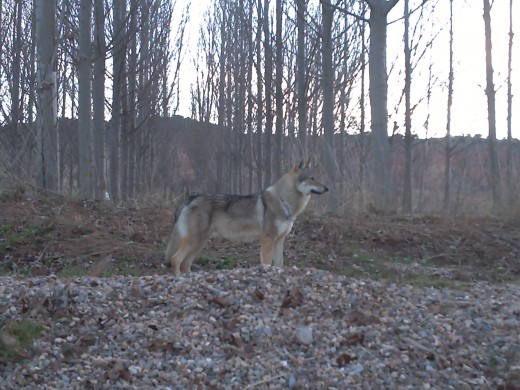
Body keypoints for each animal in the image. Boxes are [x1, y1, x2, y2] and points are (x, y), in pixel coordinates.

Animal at [165, 158, 328, 274]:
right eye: (312, 178)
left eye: (317, 177)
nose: (327, 188)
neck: (284, 201)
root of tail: (188, 199)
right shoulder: (267, 239)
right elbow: (267, 263)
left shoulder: (279, 240)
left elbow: (279, 264)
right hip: (194, 241)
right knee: (175, 260)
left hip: (200, 243)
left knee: (186, 263)